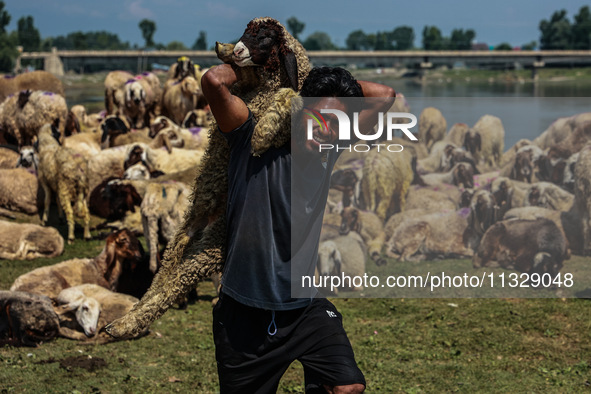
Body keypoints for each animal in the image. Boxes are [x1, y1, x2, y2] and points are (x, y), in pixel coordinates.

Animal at [107, 16, 312, 338]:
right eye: (247, 32)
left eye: (266, 38)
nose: (237, 49)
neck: (260, 89)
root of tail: (203, 224)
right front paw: (225, 52)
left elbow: (291, 95)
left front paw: (261, 135)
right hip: (189, 238)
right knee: (166, 283)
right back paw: (125, 323)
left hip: (205, 242)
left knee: (167, 282)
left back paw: (124, 323)